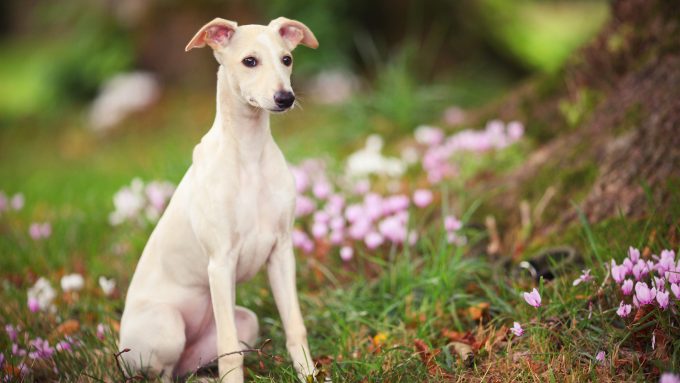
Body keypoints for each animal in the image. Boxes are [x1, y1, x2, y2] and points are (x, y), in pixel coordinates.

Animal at [119, 16, 322, 382]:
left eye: (287, 59)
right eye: (249, 61)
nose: (285, 98)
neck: (250, 154)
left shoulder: (281, 252)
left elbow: (294, 326)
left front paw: (307, 373)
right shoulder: (220, 262)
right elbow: (230, 351)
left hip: (245, 322)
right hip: (167, 327)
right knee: (162, 372)